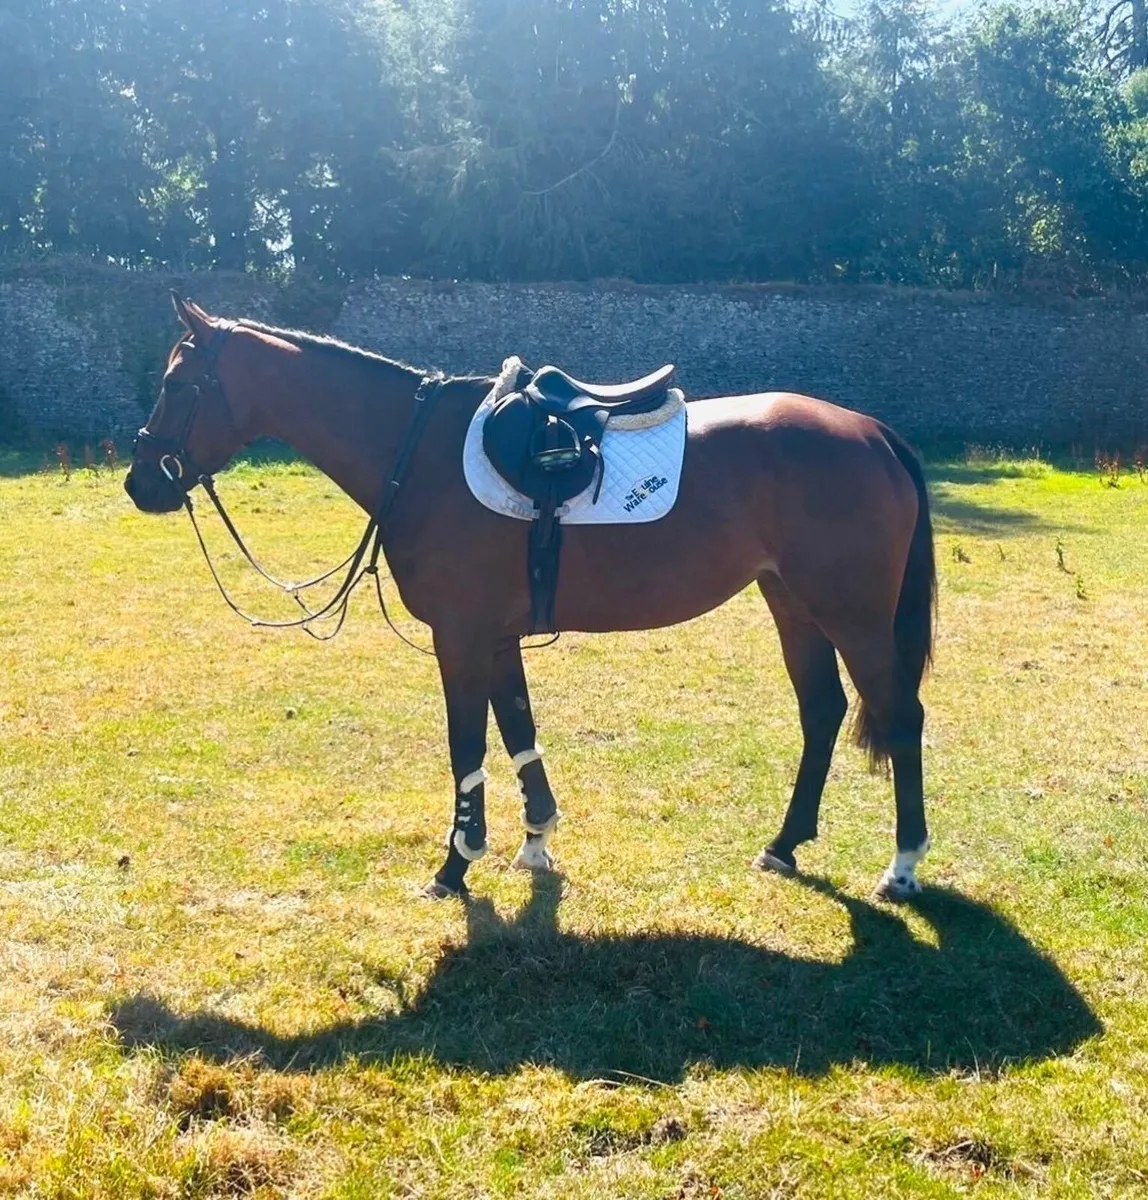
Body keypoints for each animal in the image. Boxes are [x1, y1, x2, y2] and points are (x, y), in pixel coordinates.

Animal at [125, 294, 936, 902]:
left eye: (176, 384)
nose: (140, 483)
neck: (416, 451)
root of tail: (873, 433)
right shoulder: (495, 636)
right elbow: (518, 730)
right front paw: (537, 841)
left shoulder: (460, 635)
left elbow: (468, 746)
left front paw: (455, 866)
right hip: (794, 606)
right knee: (822, 712)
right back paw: (785, 844)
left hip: (854, 617)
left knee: (900, 716)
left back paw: (900, 868)